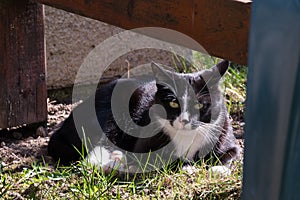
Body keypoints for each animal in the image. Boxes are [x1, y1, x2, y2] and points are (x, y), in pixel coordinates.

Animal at [48, 60, 239, 175]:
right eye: (173, 104)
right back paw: (116, 163)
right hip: (112, 113)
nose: (184, 121)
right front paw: (188, 167)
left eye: (200, 105)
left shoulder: (227, 135)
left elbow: (231, 153)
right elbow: (164, 160)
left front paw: (219, 168)